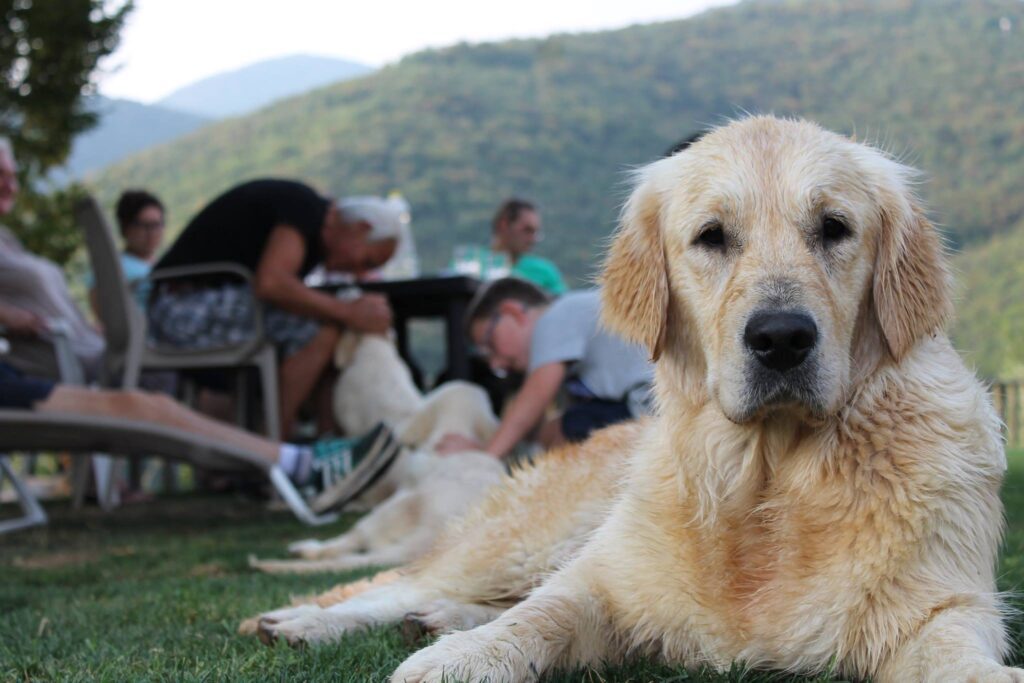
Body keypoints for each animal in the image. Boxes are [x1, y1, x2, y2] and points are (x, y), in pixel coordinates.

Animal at [245, 117, 1015, 683]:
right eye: (712, 237)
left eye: (834, 227)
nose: (781, 338)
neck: (766, 476)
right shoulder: (603, 579)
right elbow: (535, 617)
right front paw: (460, 658)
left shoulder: (943, 598)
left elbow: (954, 651)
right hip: (526, 540)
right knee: (391, 581)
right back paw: (304, 620)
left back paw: (430, 617)